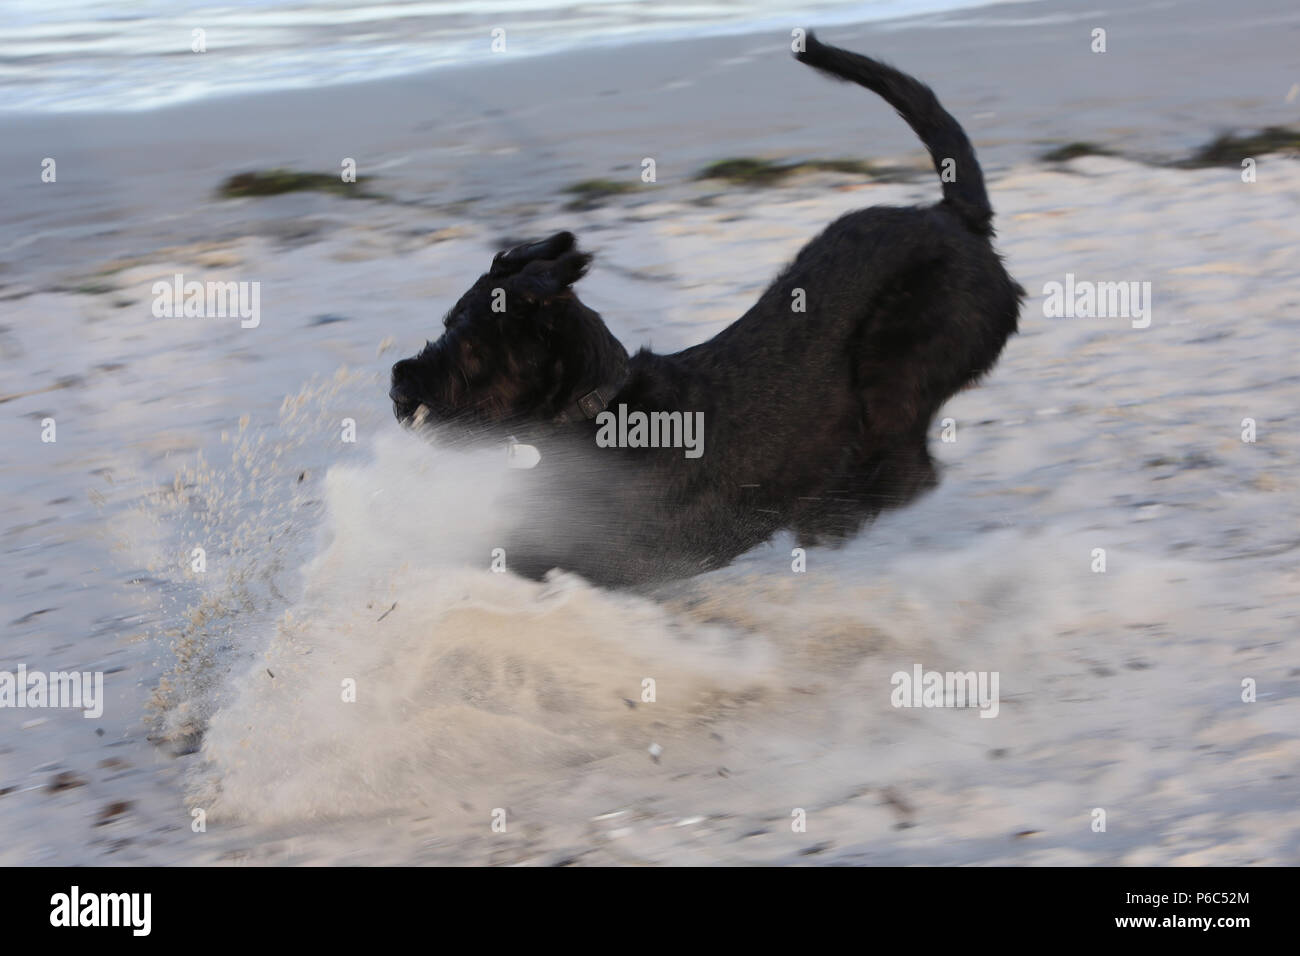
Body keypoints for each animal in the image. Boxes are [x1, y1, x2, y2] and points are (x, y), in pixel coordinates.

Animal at [390, 37, 1019, 587]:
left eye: (472, 344)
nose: (398, 383)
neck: (594, 413)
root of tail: (957, 218)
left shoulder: (601, 553)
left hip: (897, 353)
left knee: (908, 467)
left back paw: (831, 516)